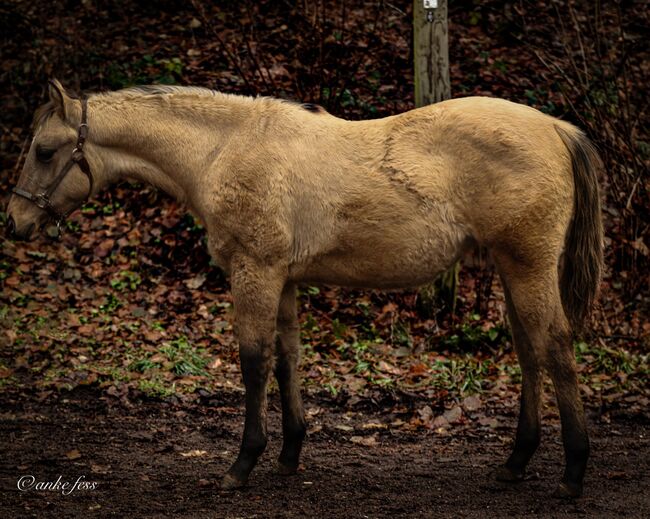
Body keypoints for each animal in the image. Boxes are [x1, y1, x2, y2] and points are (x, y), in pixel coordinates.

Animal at [6, 80, 604, 500]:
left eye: (44, 149)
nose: (13, 222)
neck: (224, 149)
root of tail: (555, 127)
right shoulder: (285, 280)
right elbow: (287, 359)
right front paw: (290, 453)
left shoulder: (255, 272)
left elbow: (253, 361)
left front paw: (243, 463)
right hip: (510, 268)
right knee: (529, 352)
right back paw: (516, 462)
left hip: (527, 266)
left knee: (555, 347)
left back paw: (574, 472)